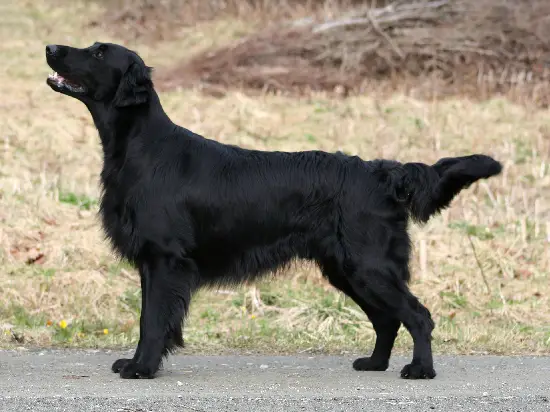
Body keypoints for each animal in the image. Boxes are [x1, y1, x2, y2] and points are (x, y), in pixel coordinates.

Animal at [46, 41, 504, 380]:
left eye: (99, 53)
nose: (50, 47)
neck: (142, 148)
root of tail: (382, 172)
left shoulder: (164, 259)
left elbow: (152, 320)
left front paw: (141, 367)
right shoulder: (151, 262)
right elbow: (151, 318)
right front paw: (140, 362)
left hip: (369, 265)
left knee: (418, 316)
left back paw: (420, 369)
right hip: (346, 269)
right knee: (388, 320)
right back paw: (375, 363)